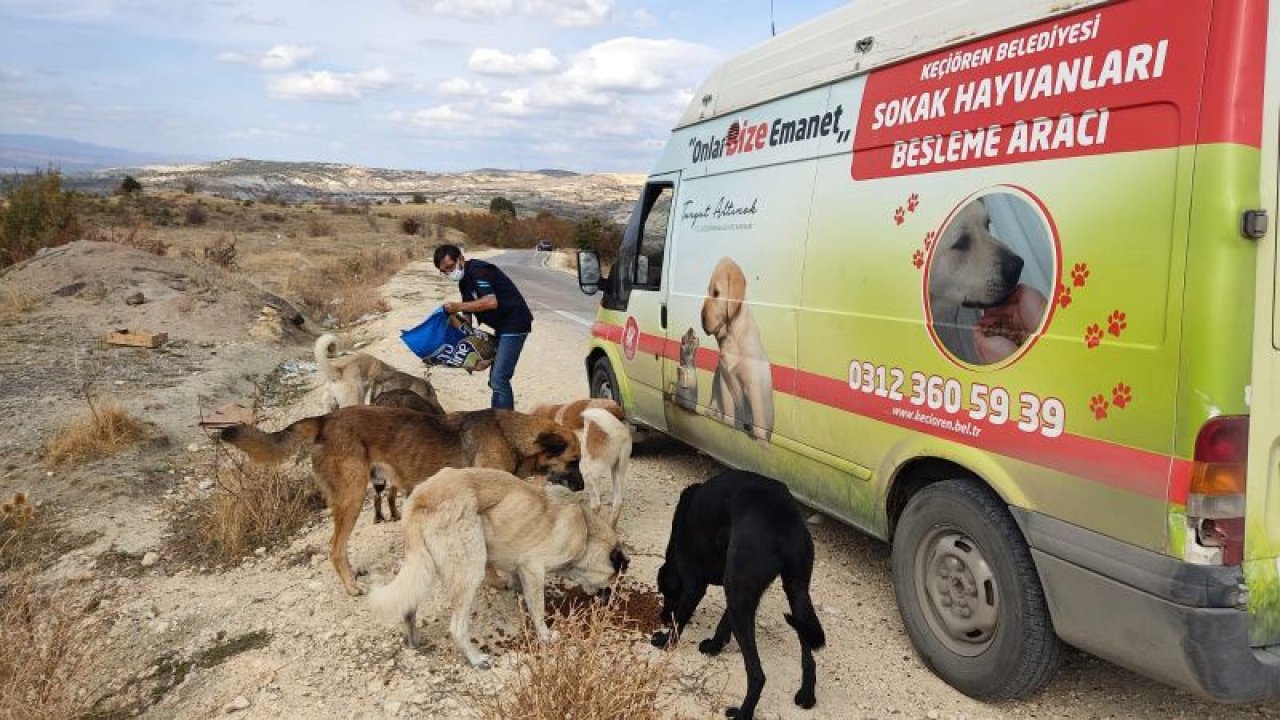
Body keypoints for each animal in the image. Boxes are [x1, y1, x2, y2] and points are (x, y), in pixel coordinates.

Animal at [217, 404, 583, 594]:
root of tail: (325, 419)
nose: (581, 487)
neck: (509, 436)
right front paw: (494, 581)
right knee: (334, 549)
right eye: (574, 462)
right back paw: (351, 586)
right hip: (352, 498)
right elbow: (487, 558)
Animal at [368, 466, 627, 666]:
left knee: (408, 605)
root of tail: (420, 497)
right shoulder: (534, 569)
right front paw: (544, 635)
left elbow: (521, 588)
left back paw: (414, 641)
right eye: (612, 579)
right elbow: (538, 609)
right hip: (470, 572)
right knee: (456, 628)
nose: (608, 598)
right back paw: (475, 659)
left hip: (424, 567)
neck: (586, 532)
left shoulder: (520, 567)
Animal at [655, 468, 824, 712]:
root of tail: (783, 523)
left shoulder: (694, 585)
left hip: (744, 596)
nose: (661, 616)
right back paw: (807, 695)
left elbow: (680, 620)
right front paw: (714, 646)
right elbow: (723, 622)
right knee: (808, 657)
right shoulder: (737, 590)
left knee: (757, 675)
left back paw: (742, 713)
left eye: (665, 592)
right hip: (795, 594)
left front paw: (665, 641)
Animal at [706, 254, 773, 440]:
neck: (731, 337)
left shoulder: (752, 386)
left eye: (716, 293)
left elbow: (757, 425)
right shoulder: (724, 382)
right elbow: (729, 417)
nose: (702, 320)